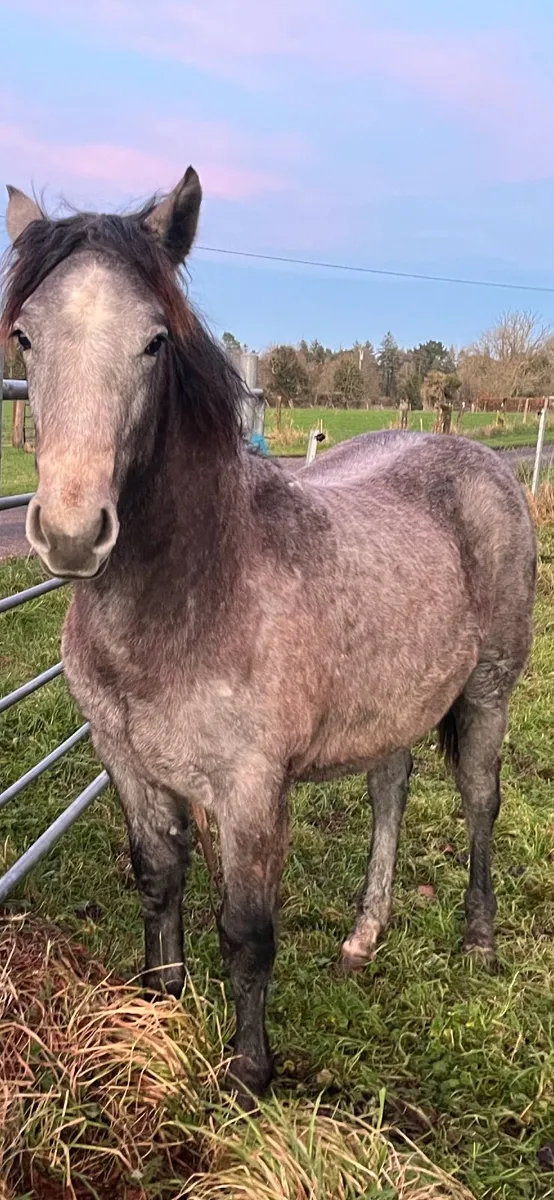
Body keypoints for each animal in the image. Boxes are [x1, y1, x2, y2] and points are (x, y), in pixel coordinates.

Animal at [1, 170, 537, 1105]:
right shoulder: (128, 764)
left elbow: (248, 930)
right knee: (390, 790)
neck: (191, 597)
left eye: (154, 342)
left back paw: (478, 941)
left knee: (479, 799)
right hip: (392, 705)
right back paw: (363, 936)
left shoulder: (251, 789)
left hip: (489, 693)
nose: (70, 532)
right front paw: (158, 1008)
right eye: (26, 335)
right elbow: (158, 884)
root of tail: (479, 460)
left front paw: (249, 1073)